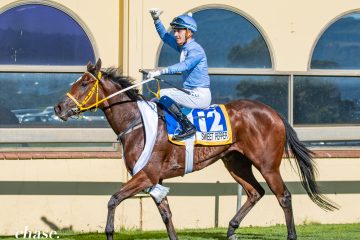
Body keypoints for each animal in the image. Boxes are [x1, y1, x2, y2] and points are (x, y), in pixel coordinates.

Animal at [53, 59, 338, 240]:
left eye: (84, 83)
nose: (58, 107)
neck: (137, 122)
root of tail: (275, 113)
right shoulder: (154, 179)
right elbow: (166, 214)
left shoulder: (146, 175)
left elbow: (113, 199)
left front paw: (110, 232)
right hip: (235, 162)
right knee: (254, 192)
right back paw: (231, 229)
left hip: (267, 165)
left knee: (284, 196)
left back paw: (289, 234)